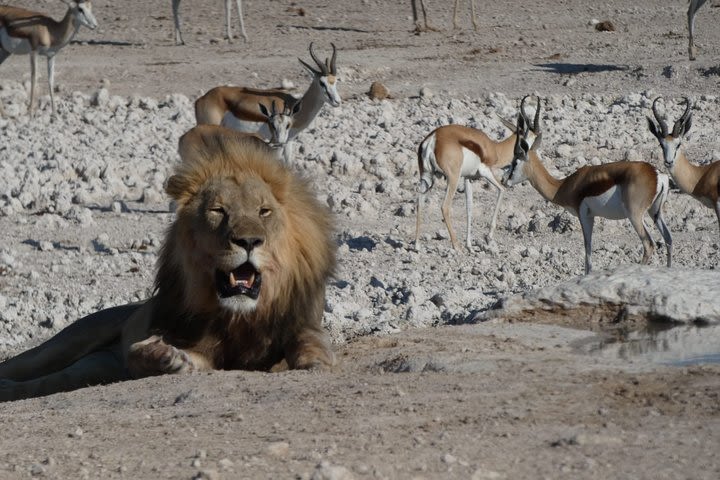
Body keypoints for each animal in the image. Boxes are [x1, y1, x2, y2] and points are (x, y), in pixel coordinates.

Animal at [0, 124, 338, 402]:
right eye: (218, 210)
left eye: (264, 211)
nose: (249, 241)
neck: (238, 316)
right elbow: (141, 353)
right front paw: (161, 355)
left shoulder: (300, 323)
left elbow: (311, 343)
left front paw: (315, 362)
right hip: (61, 345)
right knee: (25, 369)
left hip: (91, 369)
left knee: (52, 382)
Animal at [194, 42, 344, 165]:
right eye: (322, 82)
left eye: (335, 80)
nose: (337, 101)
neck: (294, 107)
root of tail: (201, 99)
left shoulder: (288, 142)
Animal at [414, 107, 536, 249]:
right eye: (531, 139)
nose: (528, 156)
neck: (494, 148)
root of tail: (433, 138)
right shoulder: (485, 171)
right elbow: (502, 190)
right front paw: (489, 237)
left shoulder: (468, 178)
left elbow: (469, 207)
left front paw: (470, 246)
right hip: (453, 178)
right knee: (445, 207)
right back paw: (456, 246)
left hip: (426, 178)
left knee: (419, 203)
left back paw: (417, 245)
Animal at [504, 95, 672, 274]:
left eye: (515, 161)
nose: (505, 180)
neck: (564, 186)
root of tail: (656, 173)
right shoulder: (591, 216)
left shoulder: (583, 215)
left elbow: (587, 249)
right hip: (655, 212)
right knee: (668, 238)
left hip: (634, 215)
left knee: (648, 244)